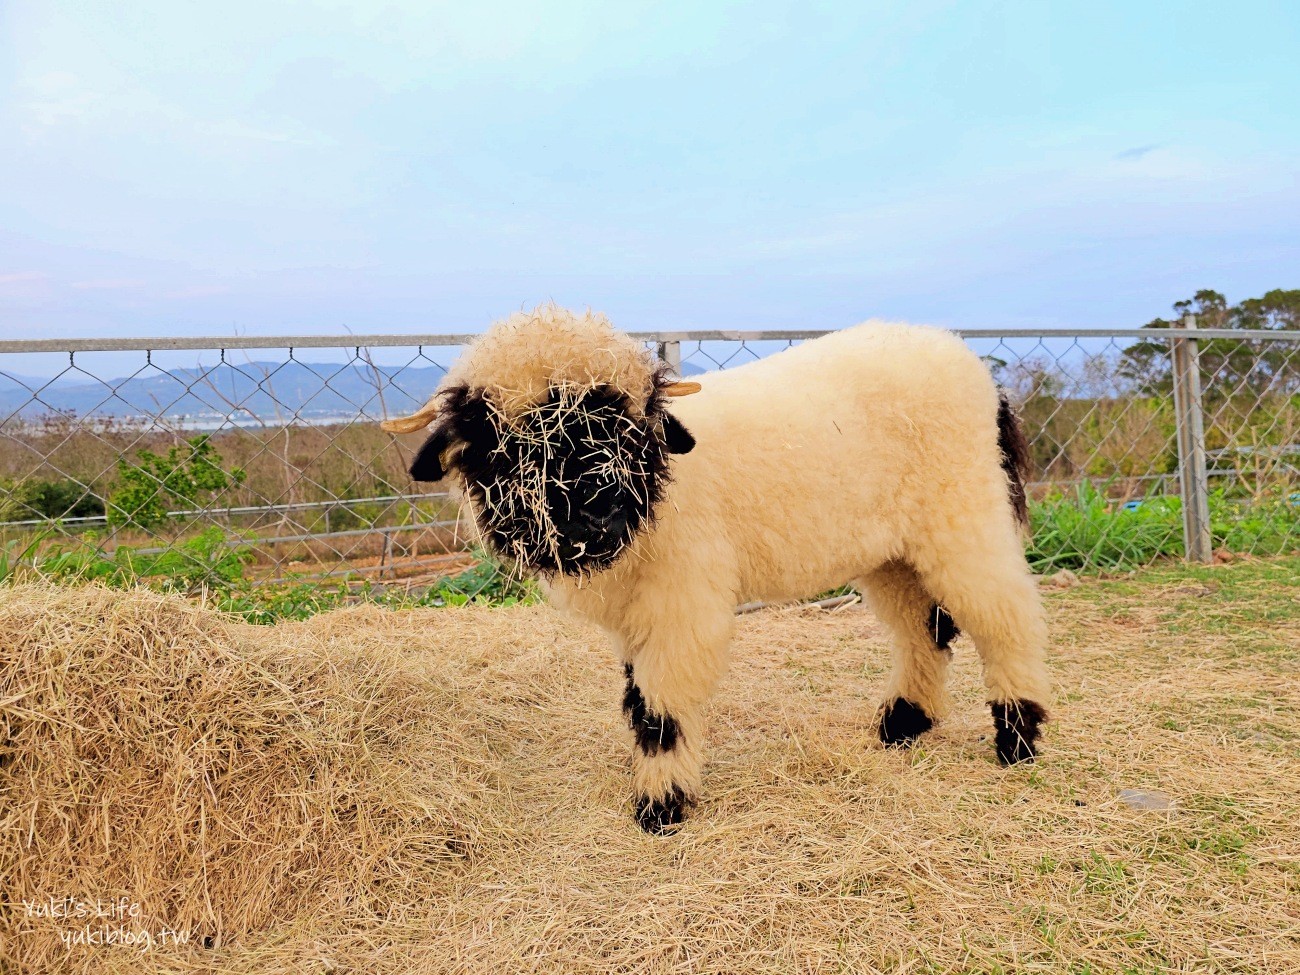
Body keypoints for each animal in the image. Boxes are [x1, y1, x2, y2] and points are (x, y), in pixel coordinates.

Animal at [379, 305, 1050, 832]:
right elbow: (636, 697)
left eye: (634, 427)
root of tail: (974, 369)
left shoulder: (682, 601)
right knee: (923, 630)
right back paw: (905, 725)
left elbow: (661, 707)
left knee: (1006, 617)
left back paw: (1019, 738)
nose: (602, 515)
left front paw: (661, 807)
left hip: (963, 515)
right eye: (506, 442)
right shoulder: (635, 615)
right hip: (889, 550)